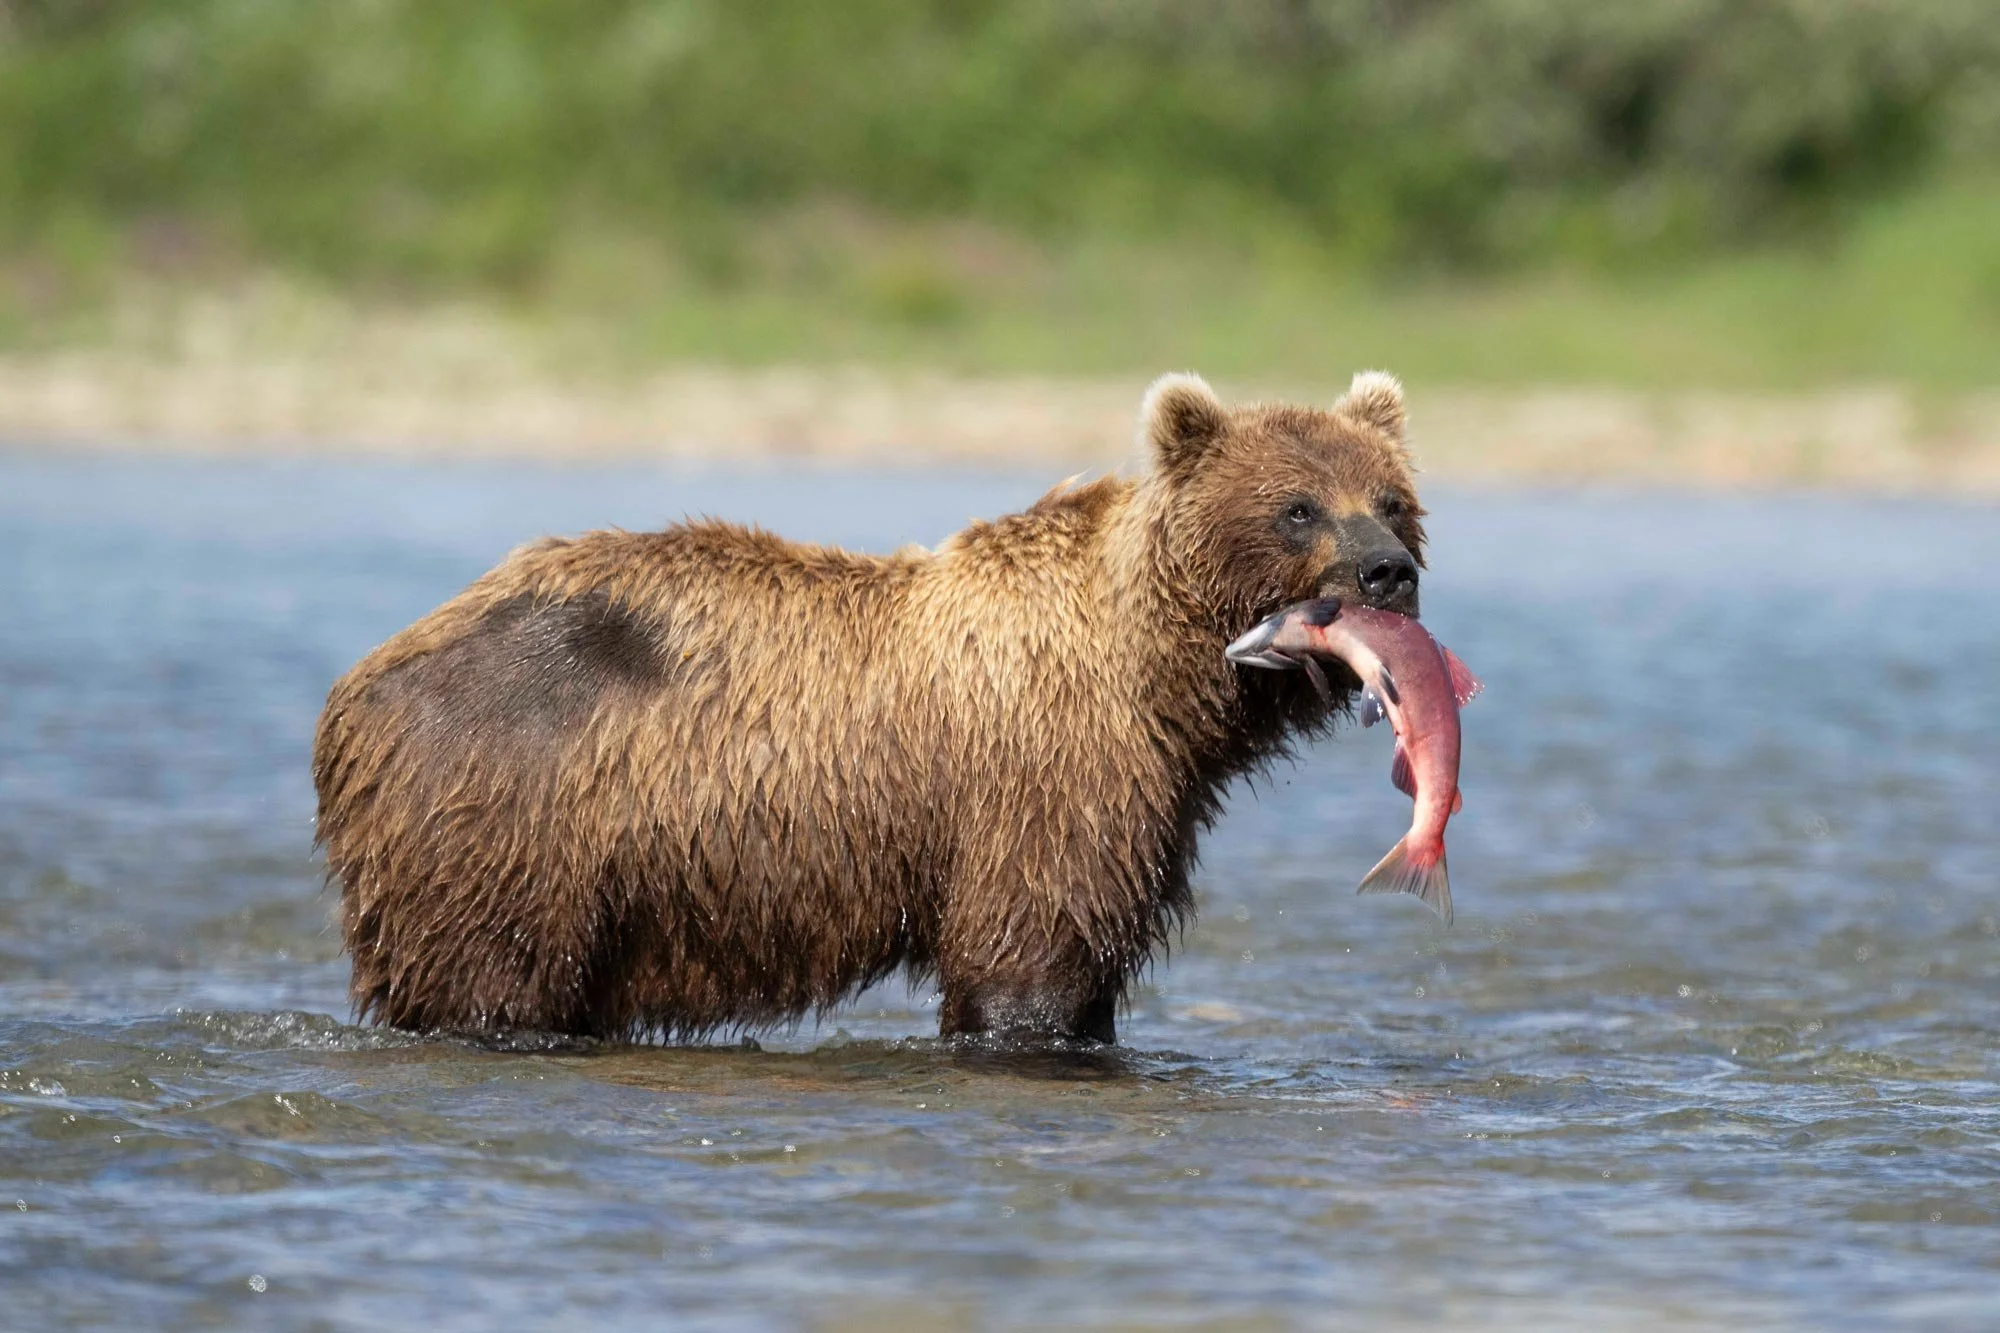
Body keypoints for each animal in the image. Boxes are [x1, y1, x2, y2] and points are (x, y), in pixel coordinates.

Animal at [311, 371, 1428, 1044]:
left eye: (1390, 497)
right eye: (1297, 506)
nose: (1388, 569)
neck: (1160, 676)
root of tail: (358, 684)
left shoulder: (1145, 792)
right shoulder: (1048, 781)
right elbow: (1031, 962)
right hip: (509, 808)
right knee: (489, 978)